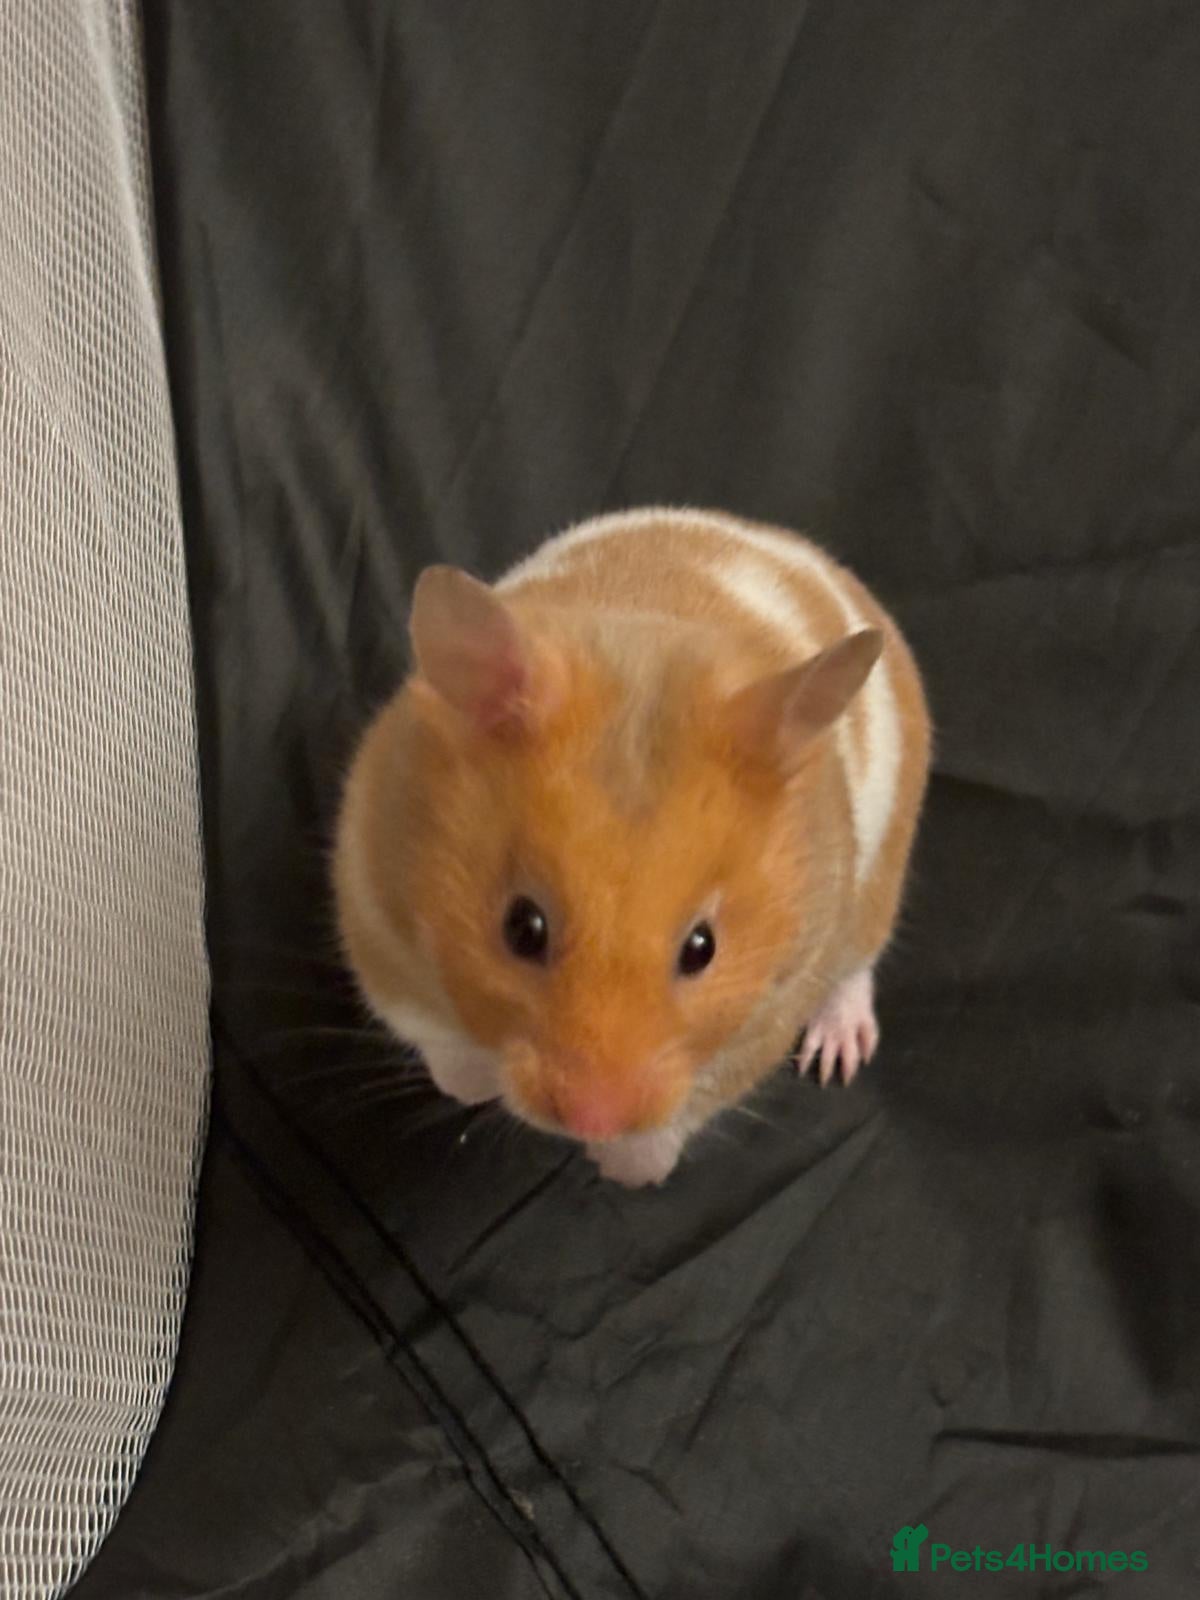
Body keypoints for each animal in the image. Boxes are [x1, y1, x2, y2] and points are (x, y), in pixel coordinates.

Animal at [332, 508, 931, 1187]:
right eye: (521, 928)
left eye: (702, 948)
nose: (592, 1122)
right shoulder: (374, 911)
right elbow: (441, 1042)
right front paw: (471, 1086)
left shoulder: (770, 1011)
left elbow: (685, 1109)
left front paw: (628, 1171)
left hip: (877, 885)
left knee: (857, 967)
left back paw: (836, 1055)